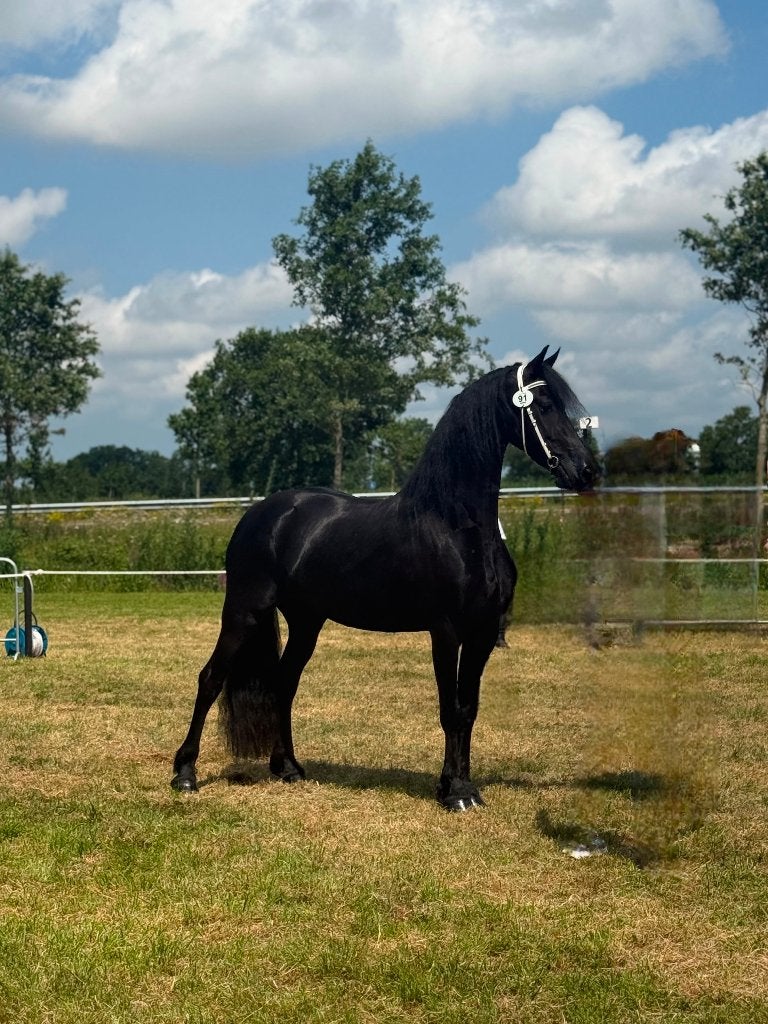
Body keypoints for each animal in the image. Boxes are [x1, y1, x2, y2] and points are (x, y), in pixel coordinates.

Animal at [171, 346, 599, 810]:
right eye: (543, 405)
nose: (587, 472)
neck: (455, 525)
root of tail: (260, 513)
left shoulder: (484, 632)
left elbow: (468, 709)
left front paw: (464, 789)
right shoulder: (446, 631)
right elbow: (450, 709)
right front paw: (453, 793)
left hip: (306, 622)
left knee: (283, 683)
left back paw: (288, 768)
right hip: (245, 610)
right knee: (210, 678)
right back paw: (185, 774)